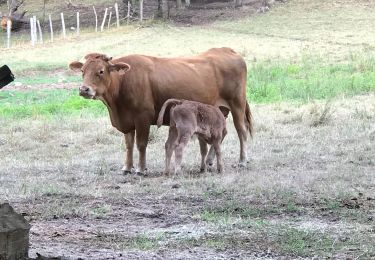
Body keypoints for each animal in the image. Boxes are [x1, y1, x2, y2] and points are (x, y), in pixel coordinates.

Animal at [69, 48, 254, 175]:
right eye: (83, 71)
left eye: (100, 71)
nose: (84, 89)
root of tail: (227, 50)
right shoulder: (127, 120)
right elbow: (129, 145)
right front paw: (127, 167)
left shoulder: (142, 117)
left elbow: (141, 144)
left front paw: (141, 169)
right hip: (219, 111)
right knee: (222, 134)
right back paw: (209, 161)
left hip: (237, 104)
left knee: (241, 131)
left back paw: (242, 160)